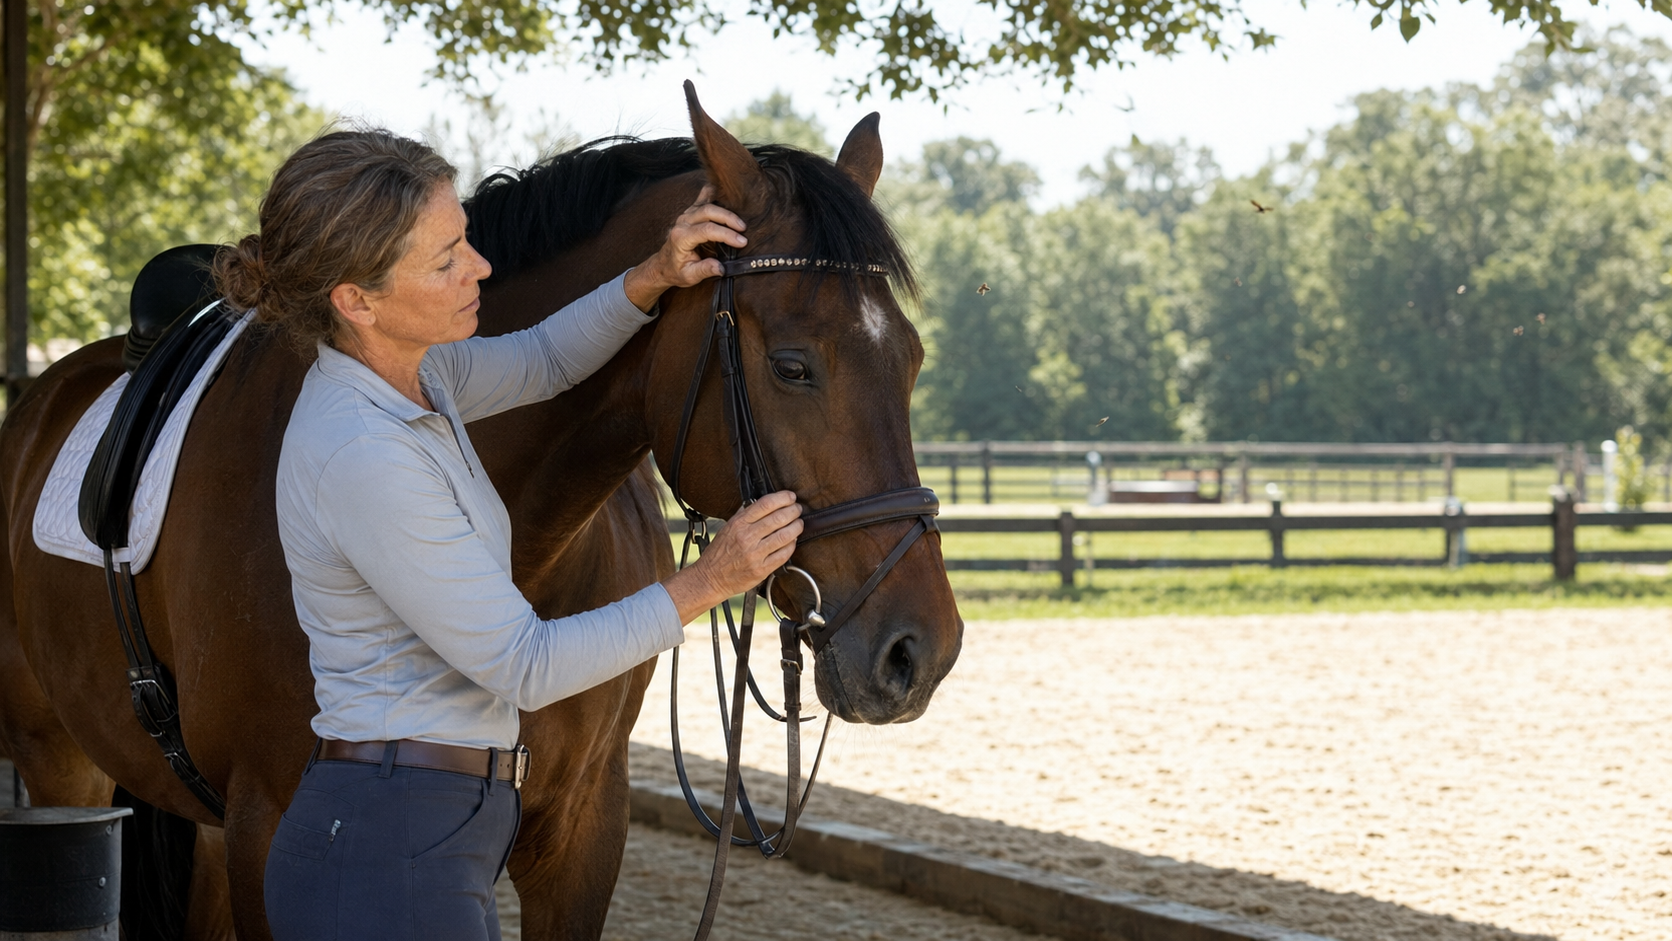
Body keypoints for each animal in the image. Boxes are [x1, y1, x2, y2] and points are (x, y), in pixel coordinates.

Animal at [0, 86, 962, 940]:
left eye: (913, 358)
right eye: (794, 365)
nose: (920, 652)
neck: (528, 554)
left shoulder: (583, 830)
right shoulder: (267, 824)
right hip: (63, 768)